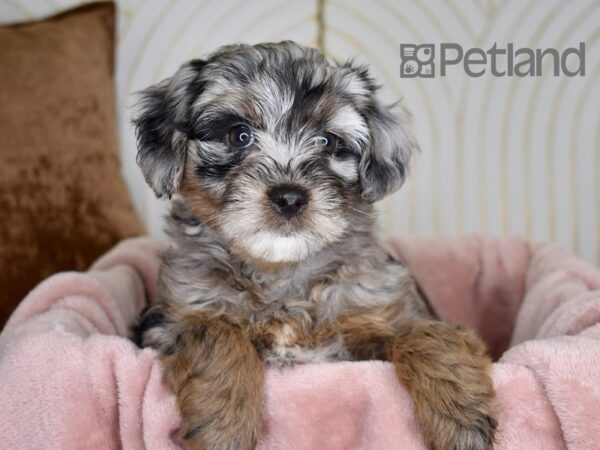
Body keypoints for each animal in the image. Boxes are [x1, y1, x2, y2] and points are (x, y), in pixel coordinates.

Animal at [131, 42, 496, 450]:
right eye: (239, 135)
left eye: (328, 142)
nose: (290, 197)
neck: (281, 273)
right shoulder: (172, 319)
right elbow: (216, 333)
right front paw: (223, 428)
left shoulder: (372, 318)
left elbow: (423, 333)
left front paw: (462, 419)